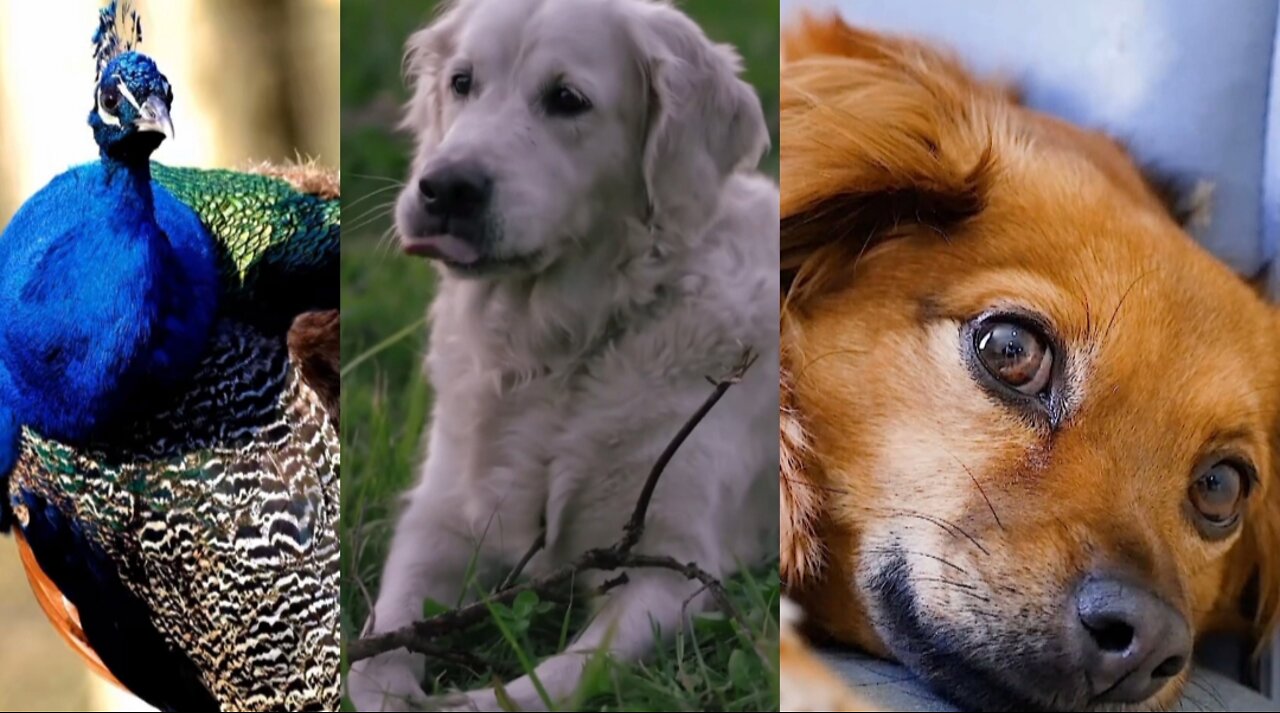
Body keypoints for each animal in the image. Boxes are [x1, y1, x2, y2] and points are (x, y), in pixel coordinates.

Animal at [350, 1, 778, 706]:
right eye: (462, 82)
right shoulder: (437, 520)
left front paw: (470, 701)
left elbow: (561, 673)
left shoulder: (671, 566)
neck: (560, 351)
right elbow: (379, 637)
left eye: (567, 99)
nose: (444, 188)